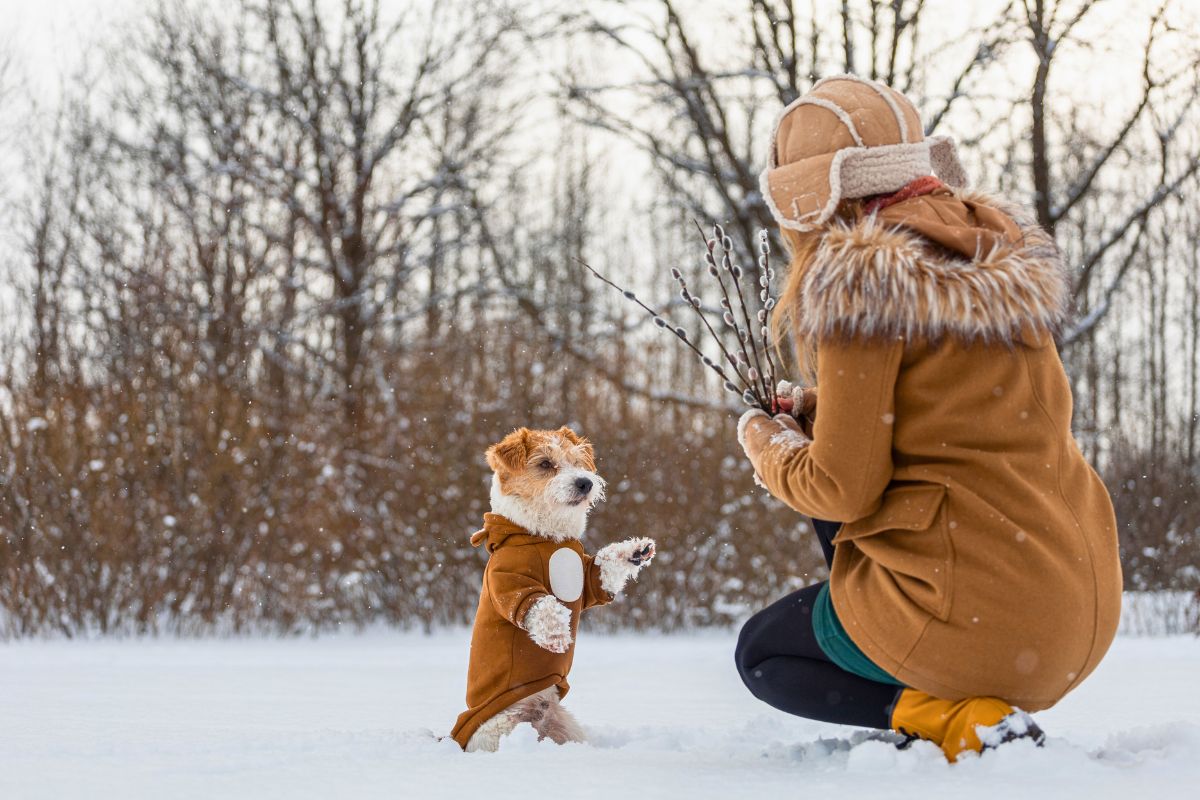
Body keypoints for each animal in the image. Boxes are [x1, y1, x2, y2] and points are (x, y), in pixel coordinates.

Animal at [451, 424, 657, 753]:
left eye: (577, 461)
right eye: (546, 464)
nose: (585, 482)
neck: (546, 536)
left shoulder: (590, 580)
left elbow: (606, 563)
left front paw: (635, 550)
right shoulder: (509, 584)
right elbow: (541, 603)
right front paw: (558, 635)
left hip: (566, 727)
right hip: (500, 728)